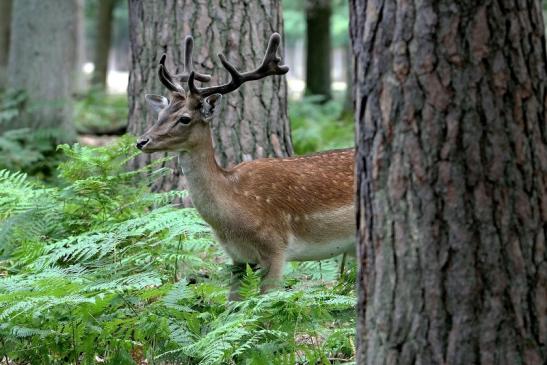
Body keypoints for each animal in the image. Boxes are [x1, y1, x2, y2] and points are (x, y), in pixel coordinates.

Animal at [135, 32, 354, 298]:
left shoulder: (276, 248)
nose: (141, 141)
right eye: (160, 115)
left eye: (184, 119)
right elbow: (233, 303)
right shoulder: (237, 257)